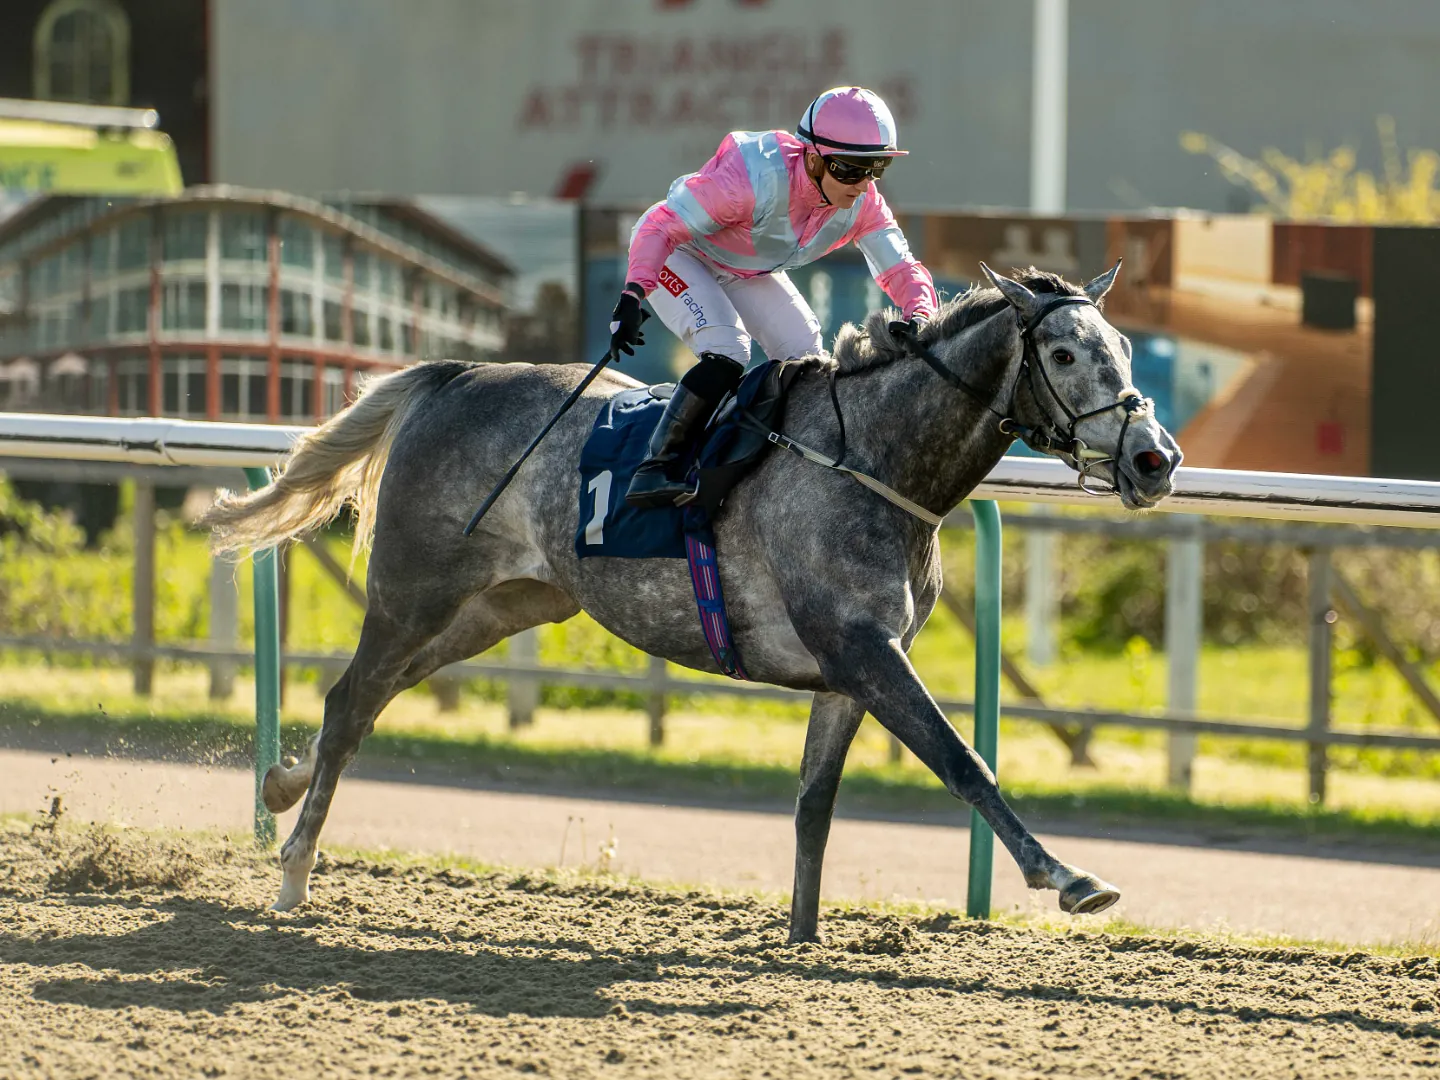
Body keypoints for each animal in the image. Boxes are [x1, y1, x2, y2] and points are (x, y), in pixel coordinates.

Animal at [203, 263, 1181, 942]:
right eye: (1064, 353)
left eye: (1127, 351)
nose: (1155, 458)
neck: (873, 459)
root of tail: (456, 375)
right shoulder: (864, 648)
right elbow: (963, 760)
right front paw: (1070, 878)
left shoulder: (851, 669)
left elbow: (814, 804)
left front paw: (801, 938)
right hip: (415, 590)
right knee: (352, 698)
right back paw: (293, 870)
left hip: (506, 604)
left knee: (370, 699)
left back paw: (281, 785)